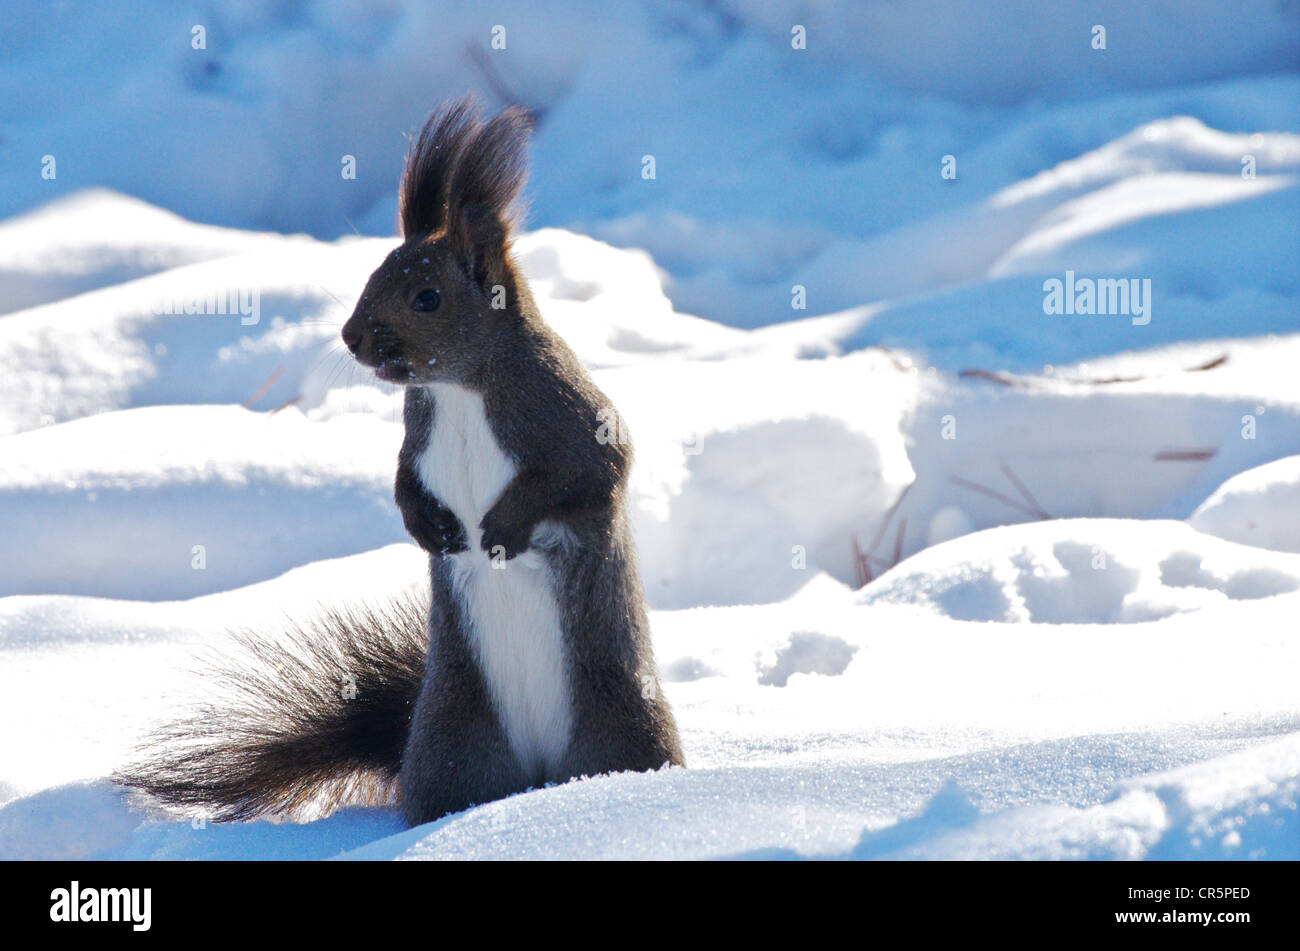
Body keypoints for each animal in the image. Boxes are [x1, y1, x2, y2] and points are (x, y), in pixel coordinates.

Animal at [118, 98, 686, 826]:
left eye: (427, 298)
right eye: (372, 275)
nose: (351, 337)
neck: (460, 387)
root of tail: (539, 774)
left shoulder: (571, 415)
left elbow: (593, 472)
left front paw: (500, 528)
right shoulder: (417, 433)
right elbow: (401, 482)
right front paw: (428, 527)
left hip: (620, 724)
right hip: (454, 739)